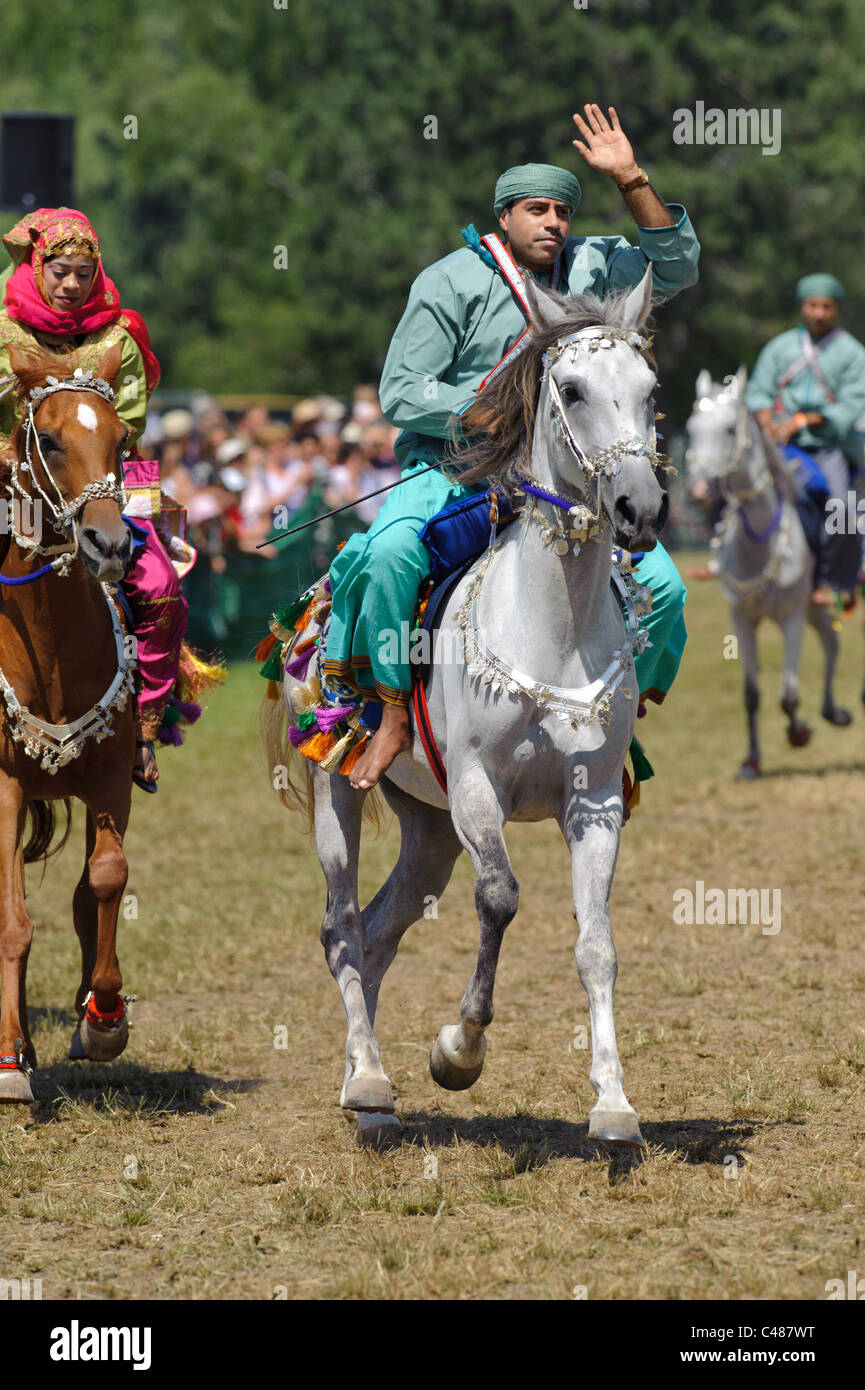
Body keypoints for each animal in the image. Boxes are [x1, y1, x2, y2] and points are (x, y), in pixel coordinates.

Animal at [692, 369, 856, 778]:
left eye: (730, 429)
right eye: (691, 428)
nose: (700, 488)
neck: (760, 542)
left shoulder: (791, 616)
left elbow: (789, 695)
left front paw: (799, 732)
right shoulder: (742, 618)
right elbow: (752, 694)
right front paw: (752, 760)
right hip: (814, 606)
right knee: (832, 642)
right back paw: (834, 712)